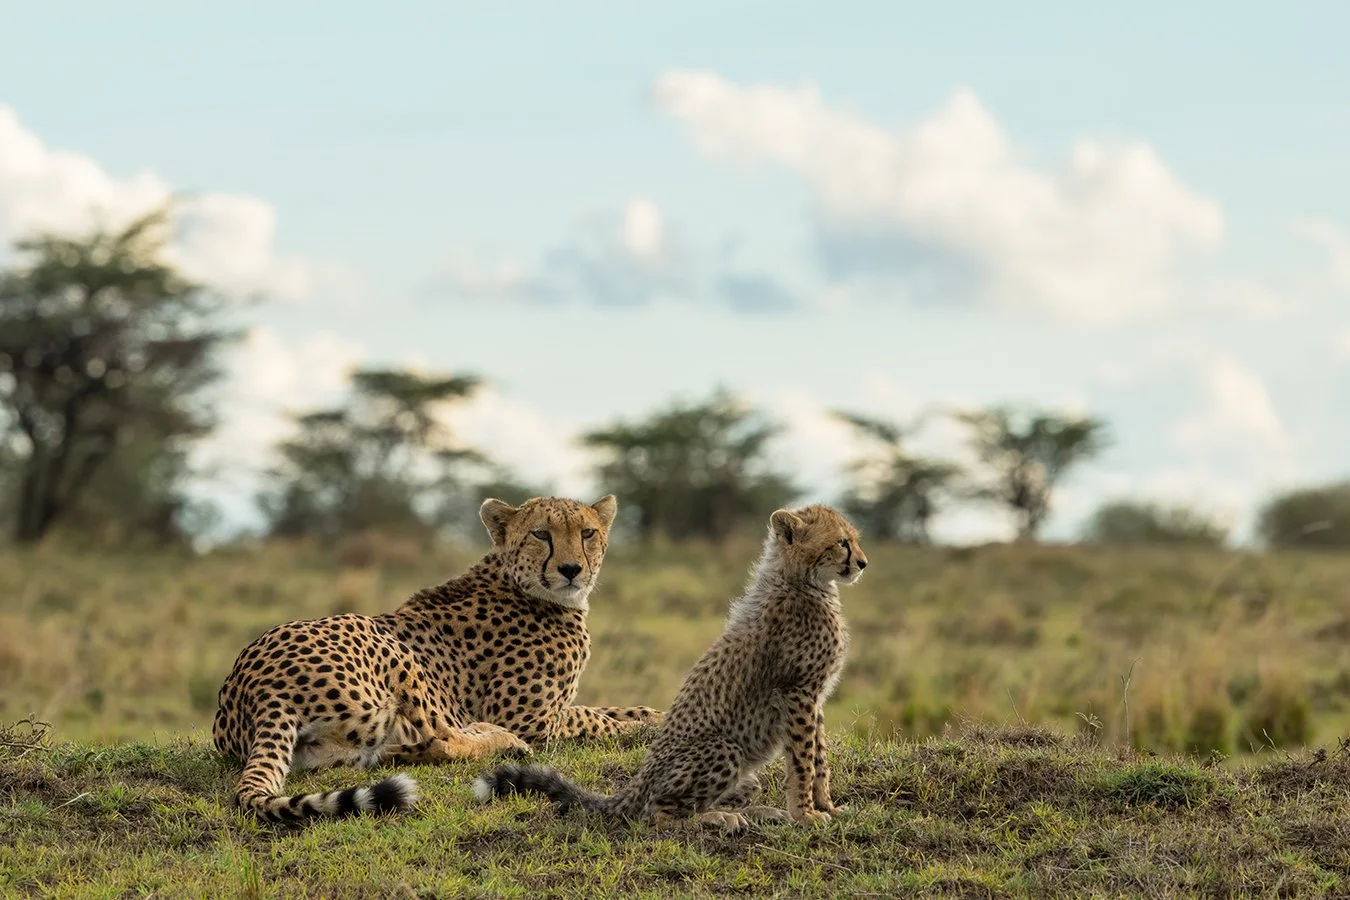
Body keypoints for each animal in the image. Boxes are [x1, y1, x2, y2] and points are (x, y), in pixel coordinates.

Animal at [212, 493, 662, 822]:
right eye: (540, 534)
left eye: (587, 533)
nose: (571, 570)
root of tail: (256, 684)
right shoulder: (532, 719)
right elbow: (594, 719)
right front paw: (642, 730)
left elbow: (610, 708)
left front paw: (651, 716)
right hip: (387, 644)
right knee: (443, 740)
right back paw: (502, 741)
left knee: (394, 751)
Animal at [474, 503, 865, 834]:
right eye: (842, 542)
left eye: (854, 540)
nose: (862, 563)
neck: (802, 580)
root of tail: (637, 784)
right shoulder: (797, 691)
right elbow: (802, 760)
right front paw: (806, 814)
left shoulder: (813, 696)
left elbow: (819, 757)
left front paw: (826, 807)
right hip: (725, 749)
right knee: (658, 814)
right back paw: (719, 819)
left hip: (746, 776)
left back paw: (756, 813)